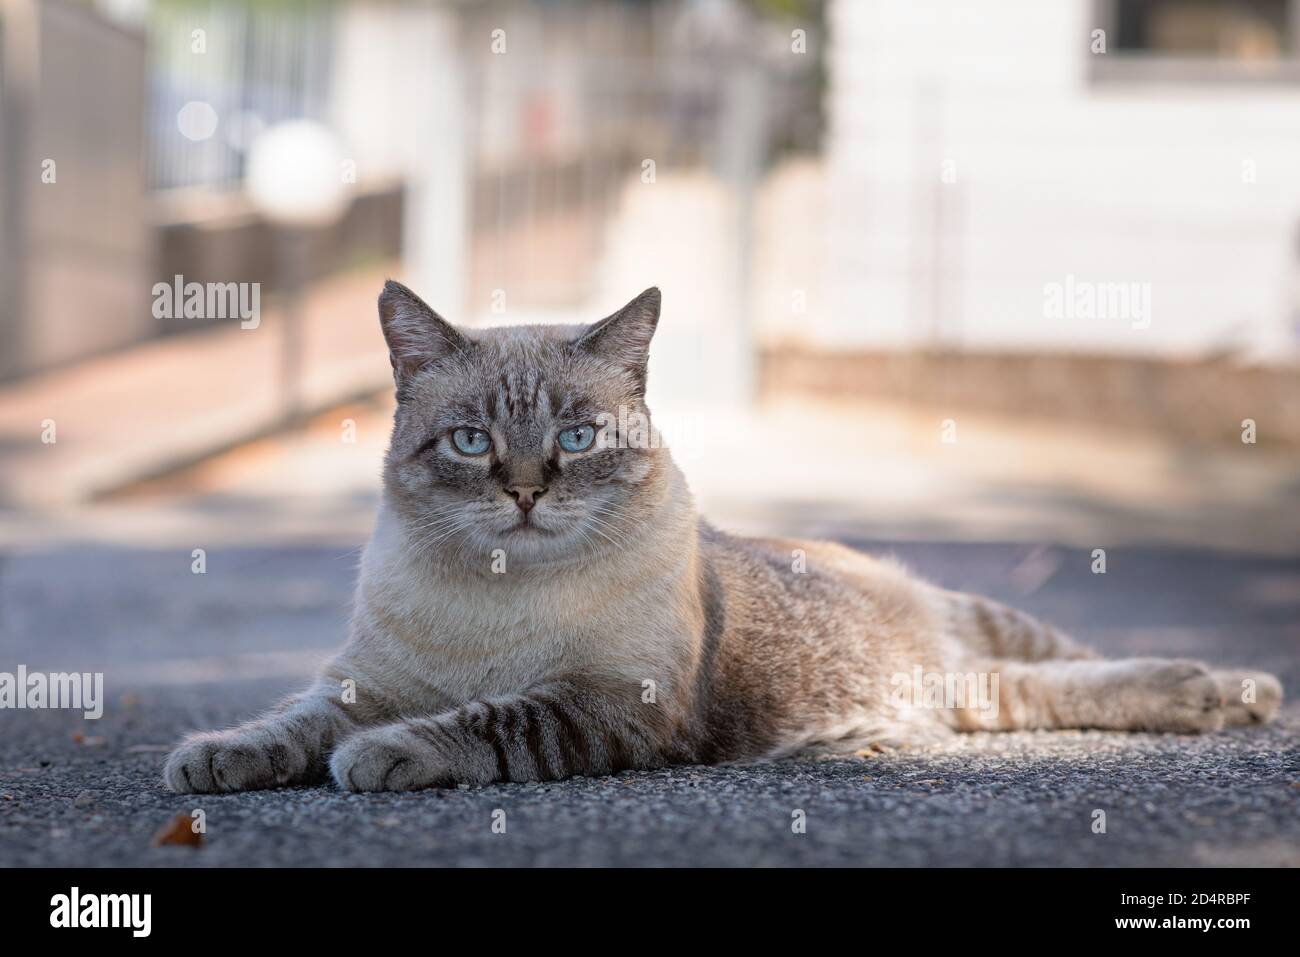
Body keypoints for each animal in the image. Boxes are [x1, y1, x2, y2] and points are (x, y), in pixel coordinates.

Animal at [162, 282, 1279, 790]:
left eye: (576, 436)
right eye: (473, 441)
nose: (524, 491)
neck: (494, 604)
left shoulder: (609, 705)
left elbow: (481, 722)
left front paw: (383, 757)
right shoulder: (359, 683)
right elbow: (291, 723)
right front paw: (212, 758)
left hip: (991, 623)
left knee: (1093, 665)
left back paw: (1235, 690)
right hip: (982, 692)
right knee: (1037, 691)